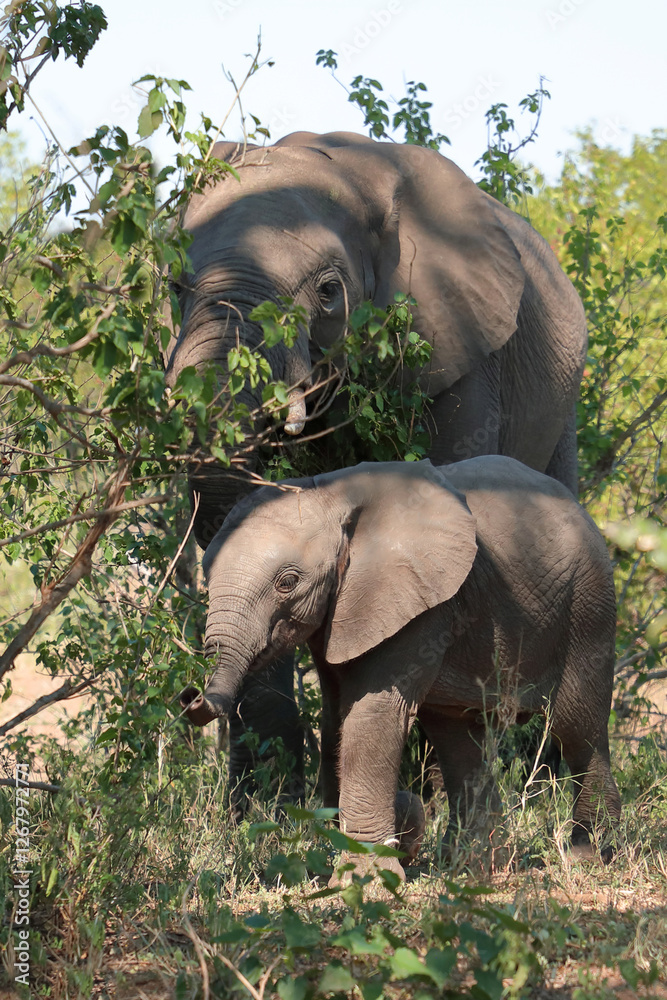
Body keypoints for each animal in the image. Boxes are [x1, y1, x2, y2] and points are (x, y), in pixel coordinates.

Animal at [165, 131, 587, 809]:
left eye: (328, 292)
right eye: (175, 286)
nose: (189, 698)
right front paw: (263, 809)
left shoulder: (456, 348)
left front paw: (427, 793)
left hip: (563, 401)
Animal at [179, 457, 621, 879]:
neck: (330, 495)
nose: (190, 697)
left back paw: (588, 856)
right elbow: (336, 717)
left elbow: (371, 714)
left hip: (588, 606)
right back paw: (471, 867)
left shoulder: (417, 600)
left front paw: (366, 878)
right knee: (459, 737)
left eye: (287, 582)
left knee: (576, 728)